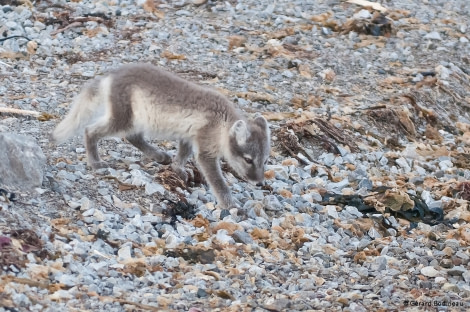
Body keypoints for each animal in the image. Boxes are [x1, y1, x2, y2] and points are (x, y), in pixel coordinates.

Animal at [51, 63, 270, 210]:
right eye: (248, 160)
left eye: (265, 160)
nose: (259, 182)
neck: (222, 122)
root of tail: (109, 77)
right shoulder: (205, 149)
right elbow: (218, 181)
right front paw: (230, 204)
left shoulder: (188, 135)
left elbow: (182, 154)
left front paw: (178, 168)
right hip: (123, 118)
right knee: (91, 130)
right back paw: (95, 162)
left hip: (135, 120)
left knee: (134, 137)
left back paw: (159, 156)